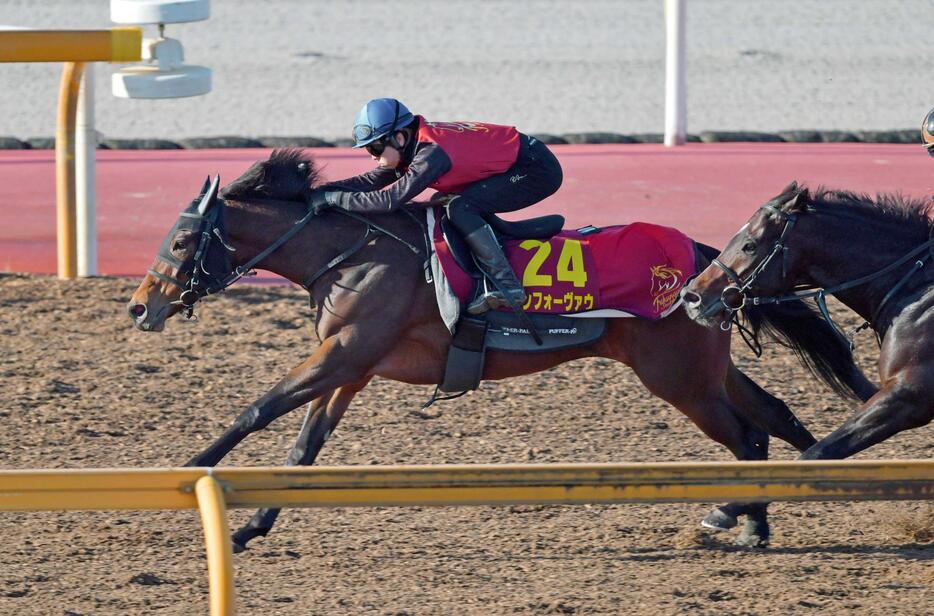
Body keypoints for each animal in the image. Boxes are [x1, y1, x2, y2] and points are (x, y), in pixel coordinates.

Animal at [126, 152, 876, 552]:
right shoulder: (352, 367)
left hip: (679, 379)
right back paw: (771, 514)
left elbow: (256, 411)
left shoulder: (342, 356)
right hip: (703, 370)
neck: (351, 255)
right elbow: (302, 446)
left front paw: (184, 474)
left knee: (749, 437)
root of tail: (702, 259)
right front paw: (250, 526)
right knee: (775, 418)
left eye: (182, 240)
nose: (140, 305)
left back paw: (747, 521)